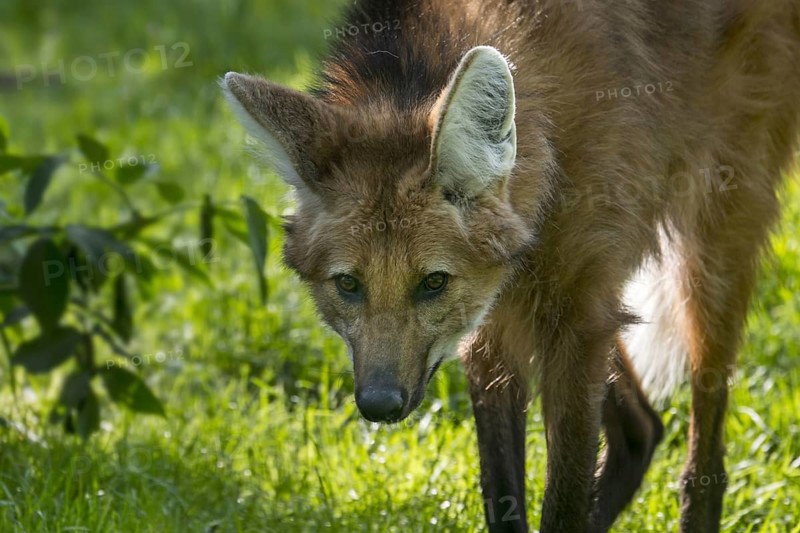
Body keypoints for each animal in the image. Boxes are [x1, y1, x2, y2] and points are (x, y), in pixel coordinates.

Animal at [221, 0, 800, 531]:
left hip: (712, 239)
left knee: (705, 445)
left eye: (432, 282)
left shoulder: (573, 313)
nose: (380, 405)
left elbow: (563, 499)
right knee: (643, 428)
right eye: (348, 284)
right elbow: (502, 488)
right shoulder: (494, 315)